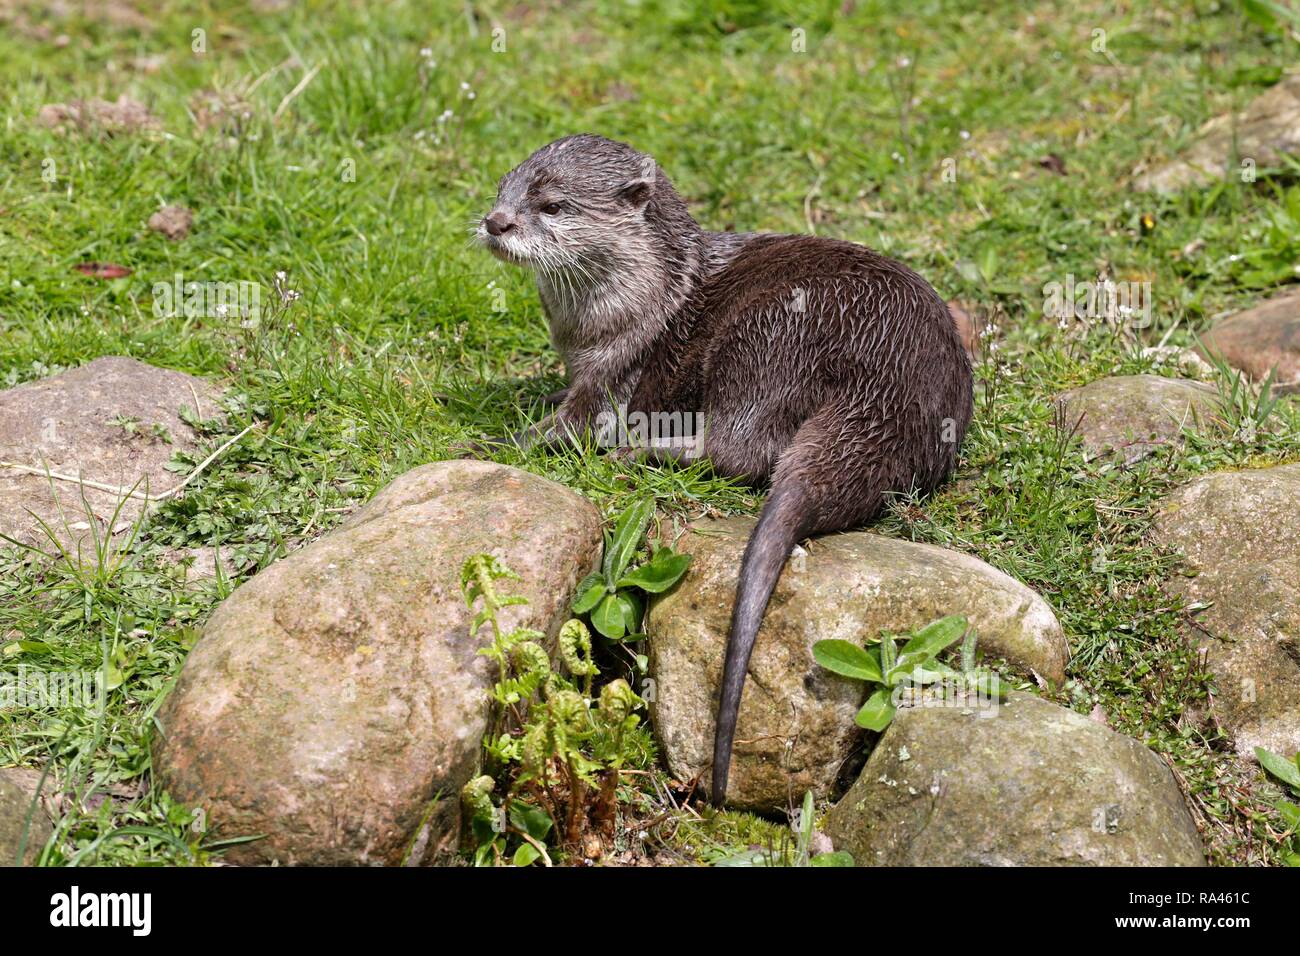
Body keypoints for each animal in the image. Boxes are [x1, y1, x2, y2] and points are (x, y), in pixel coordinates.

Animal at [473, 134, 972, 806]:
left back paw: (642, 447)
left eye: (552, 205)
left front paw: (497, 434)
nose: (496, 221)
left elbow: (569, 428)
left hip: (767, 334)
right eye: (503, 189)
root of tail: (892, 379)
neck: (638, 304)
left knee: (744, 451)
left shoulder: (617, 372)